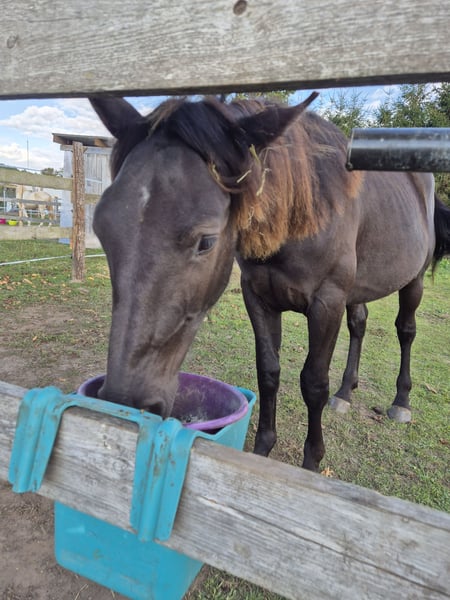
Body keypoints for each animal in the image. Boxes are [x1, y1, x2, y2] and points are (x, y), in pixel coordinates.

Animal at [89, 94, 450, 471]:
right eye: (101, 227)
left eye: (206, 241)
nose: (125, 398)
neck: (301, 218)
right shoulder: (258, 297)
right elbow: (268, 372)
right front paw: (263, 448)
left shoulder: (327, 303)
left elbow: (313, 382)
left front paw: (311, 461)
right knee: (359, 325)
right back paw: (345, 392)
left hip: (413, 281)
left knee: (405, 331)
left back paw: (401, 402)